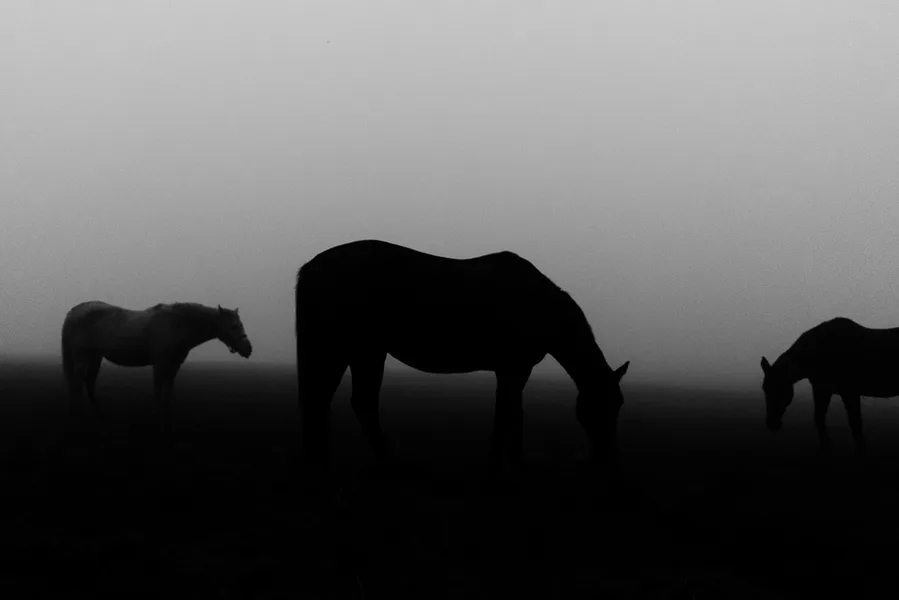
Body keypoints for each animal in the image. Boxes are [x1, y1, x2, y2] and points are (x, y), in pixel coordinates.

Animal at [61, 301, 253, 426]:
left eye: (241, 324)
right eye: (234, 326)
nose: (248, 349)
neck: (177, 324)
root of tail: (74, 311)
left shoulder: (174, 364)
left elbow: (168, 389)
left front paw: (168, 414)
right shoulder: (160, 363)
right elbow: (158, 389)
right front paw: (157, 415)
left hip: (96, 356)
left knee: (89, 381)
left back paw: (98, 414)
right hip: (81, 357)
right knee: (77, 383)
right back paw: (80, 415)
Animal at [294, 239, 630, 469]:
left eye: (618, 405)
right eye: (601, 407)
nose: (606, 458)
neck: (541, 307)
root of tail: (311, 267)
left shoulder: (508, 371)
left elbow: (505, 413)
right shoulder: (515, 369)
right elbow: (511, 415)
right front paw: (510, 463)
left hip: (352, 351)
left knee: (326, 399)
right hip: (359, 350)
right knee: (350, 401)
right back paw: (388, 462)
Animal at [761, 316, 899, 455]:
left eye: (780, 387)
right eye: (764, 389)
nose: (772, 424)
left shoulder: (849, 392)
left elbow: (855, 422)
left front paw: (860, 448)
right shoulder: (822, 389)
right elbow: (819, 418)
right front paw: (825, 447)